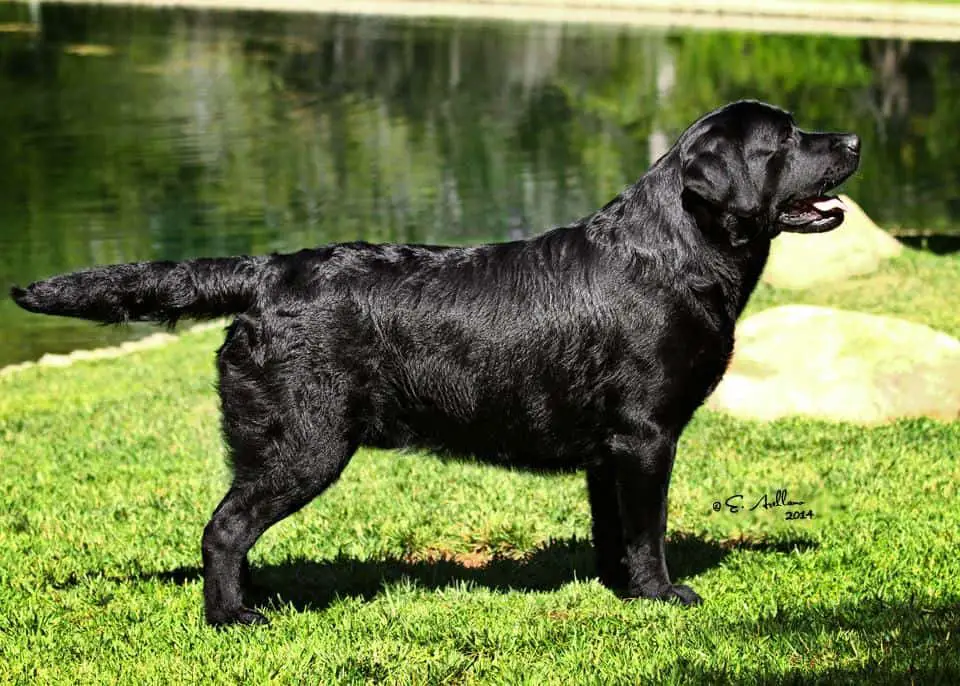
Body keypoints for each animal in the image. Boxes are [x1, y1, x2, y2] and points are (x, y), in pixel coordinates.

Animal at [11, 101, 860, 628]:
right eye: (784, 140)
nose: (853, 142)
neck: (677, 251)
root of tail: (267, 271)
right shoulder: (646, 436)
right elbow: (646, 529)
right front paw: (659, 596)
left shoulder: (608, 450)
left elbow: (611, 530)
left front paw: (617, 589)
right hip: (304, 444)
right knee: (222, 529)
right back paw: (231, 616)